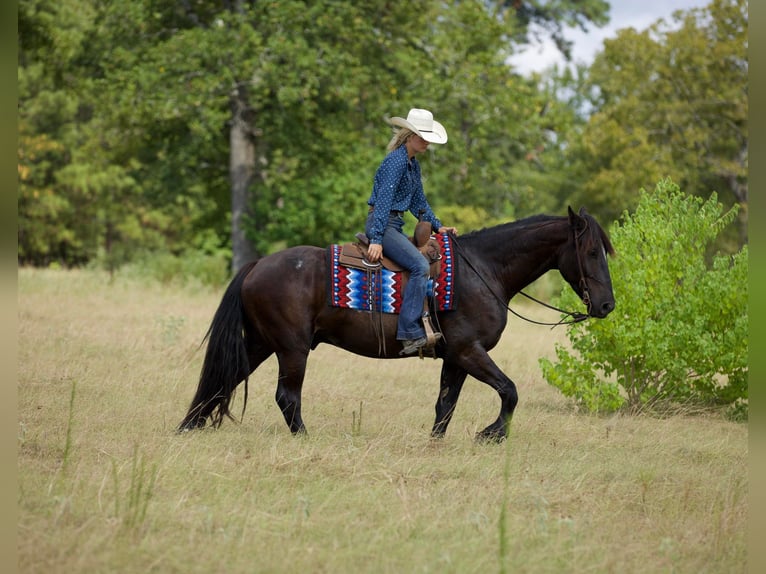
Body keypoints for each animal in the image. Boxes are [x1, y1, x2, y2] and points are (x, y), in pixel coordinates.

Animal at [177, 207, 616, 440]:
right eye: (592, 251)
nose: (607, 305)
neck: (483, 270)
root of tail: (257, 265)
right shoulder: (469, 351)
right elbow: (509, 391)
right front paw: (492, 434)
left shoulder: (455, 357)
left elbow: (445, 404)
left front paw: (436, 444)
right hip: (291, 349)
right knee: (287, 397)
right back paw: (304, 438)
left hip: (260, 344)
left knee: (224, 380)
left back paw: (189, 426)